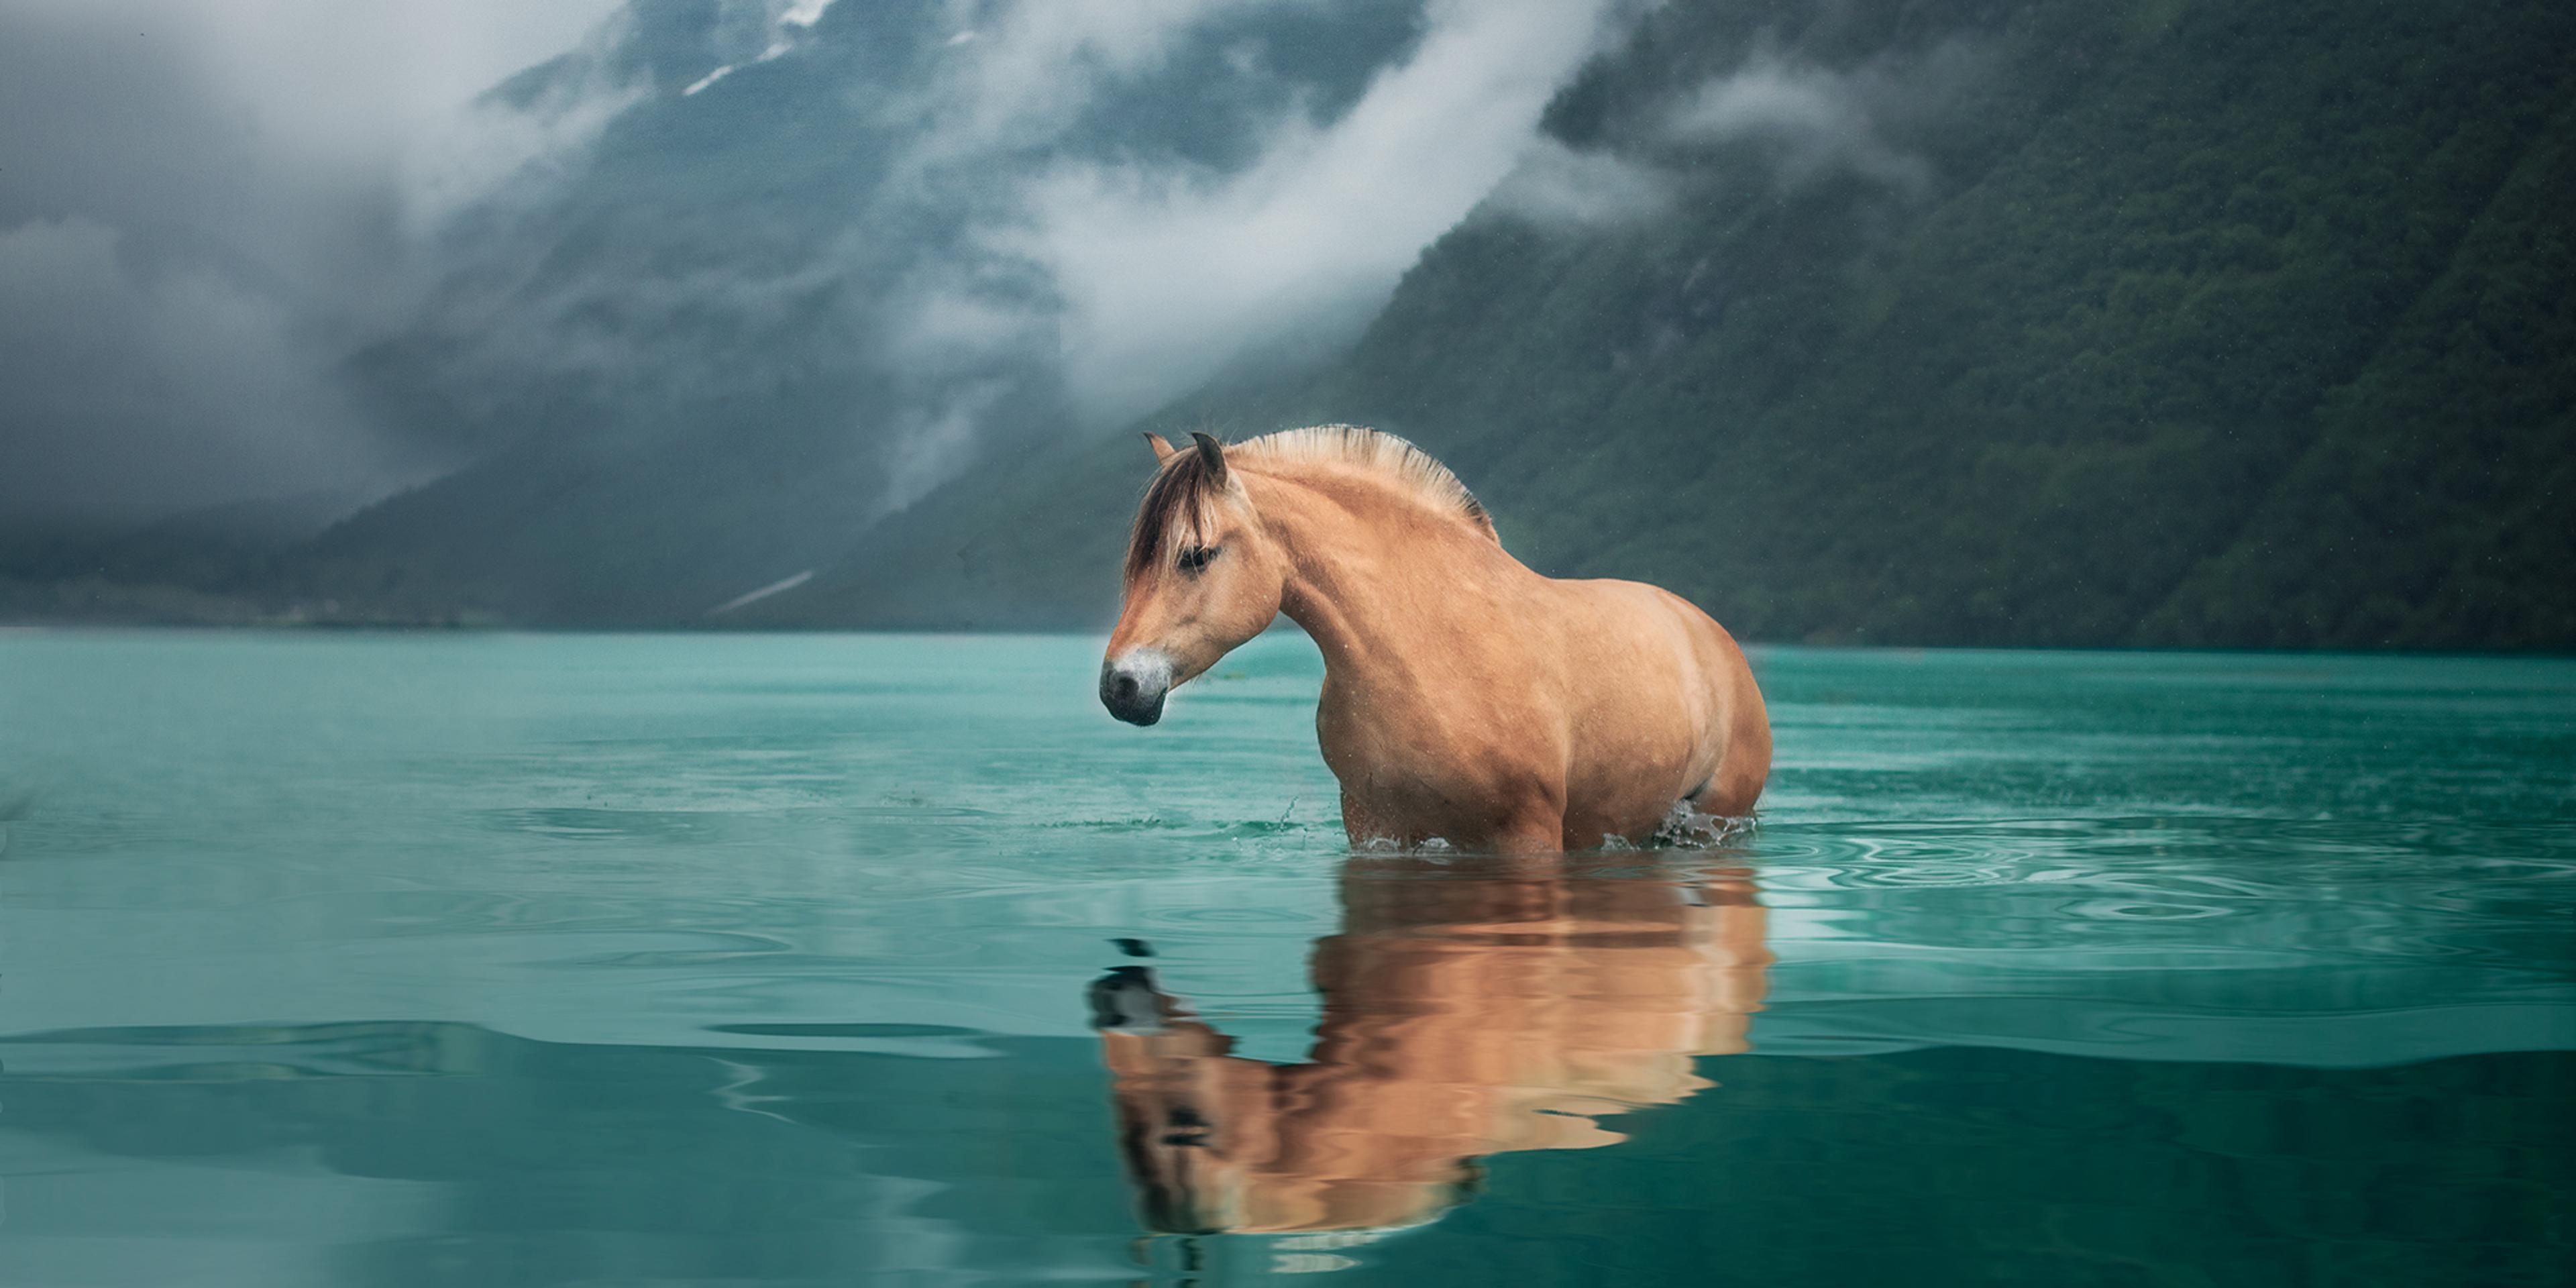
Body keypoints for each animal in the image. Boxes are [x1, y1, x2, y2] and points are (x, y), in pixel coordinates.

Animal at [1099, 426, 1770, 852]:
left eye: (1196, 554)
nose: (1120, 687)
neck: (1426, 649)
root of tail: (1714, 637)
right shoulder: (1377, 829)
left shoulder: (1527, 833)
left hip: (1713, 818)